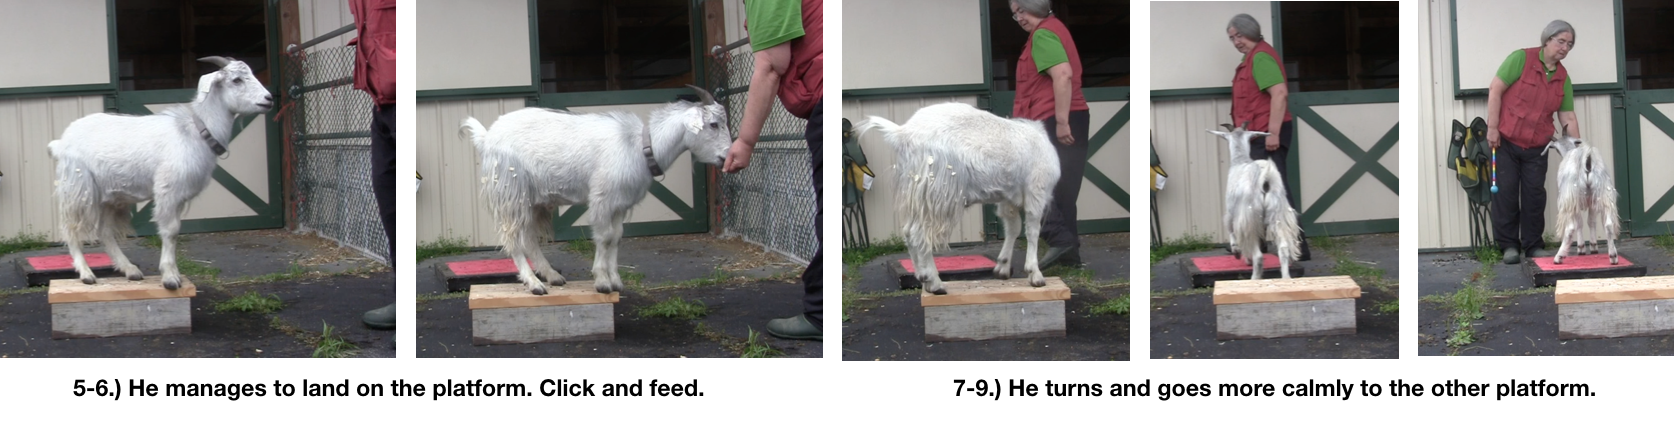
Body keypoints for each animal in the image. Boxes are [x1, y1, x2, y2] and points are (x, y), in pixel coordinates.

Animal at [49, 56, 274, 290]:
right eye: (237, 80)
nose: (269, 99)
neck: (195, 131)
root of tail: (61, 142)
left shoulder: (179, 196)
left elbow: (175, 231)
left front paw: (173, 274)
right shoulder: (168, 190)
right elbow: (170, 231)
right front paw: (170, 277)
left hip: (110, 196)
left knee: (105, 232)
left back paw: (130, 270)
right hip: (77, 186)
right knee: (70, 228)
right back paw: (86, 273)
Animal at [460, 86, 732, 295]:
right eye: (713, 124)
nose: (726, 157)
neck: (640, 145)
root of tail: (487, 138)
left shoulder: (621, 203)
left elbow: (617, 236)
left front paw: (616, 280)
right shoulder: (602, 198)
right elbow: (604, 236)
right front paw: (602, 281)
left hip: (532, 200)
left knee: (528, 239)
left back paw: (552, 276)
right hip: (511, 191)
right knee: (514, 239)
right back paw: (534, 284)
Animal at [854, 102, 1059, 295]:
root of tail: (902, 133)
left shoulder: (1008, 197)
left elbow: (1013, 227)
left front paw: (1003, 267)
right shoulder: (1037, 190)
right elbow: (1032, 231)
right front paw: (1035, 274)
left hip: (917, 192)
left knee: (907, 231)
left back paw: (923, 278)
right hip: (938, 191)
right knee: (919, 233)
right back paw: (934, 282)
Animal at [1207, 124, 1301, 280]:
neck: (1241, 160)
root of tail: (1265, 176)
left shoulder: (1233, 213)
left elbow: (1231, 231)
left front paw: (1237, 253)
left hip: (1250, 217)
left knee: (1258, 256)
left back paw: (1254, 277)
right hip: (1277, 213)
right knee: (1283, 249)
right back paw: (1286, 278)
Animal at [1547, 131, 1620, 265]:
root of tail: (1587, 158)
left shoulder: (1575, 201)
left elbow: (1579, 223)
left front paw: (1581, 248)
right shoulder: (1592, 202)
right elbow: (1591, 221)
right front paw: (1593, 246)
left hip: (1571, 197)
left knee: (1570, 228)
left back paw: (1559, 257)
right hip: (1603, 193)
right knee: (1608, 225)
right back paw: (1613, 256)